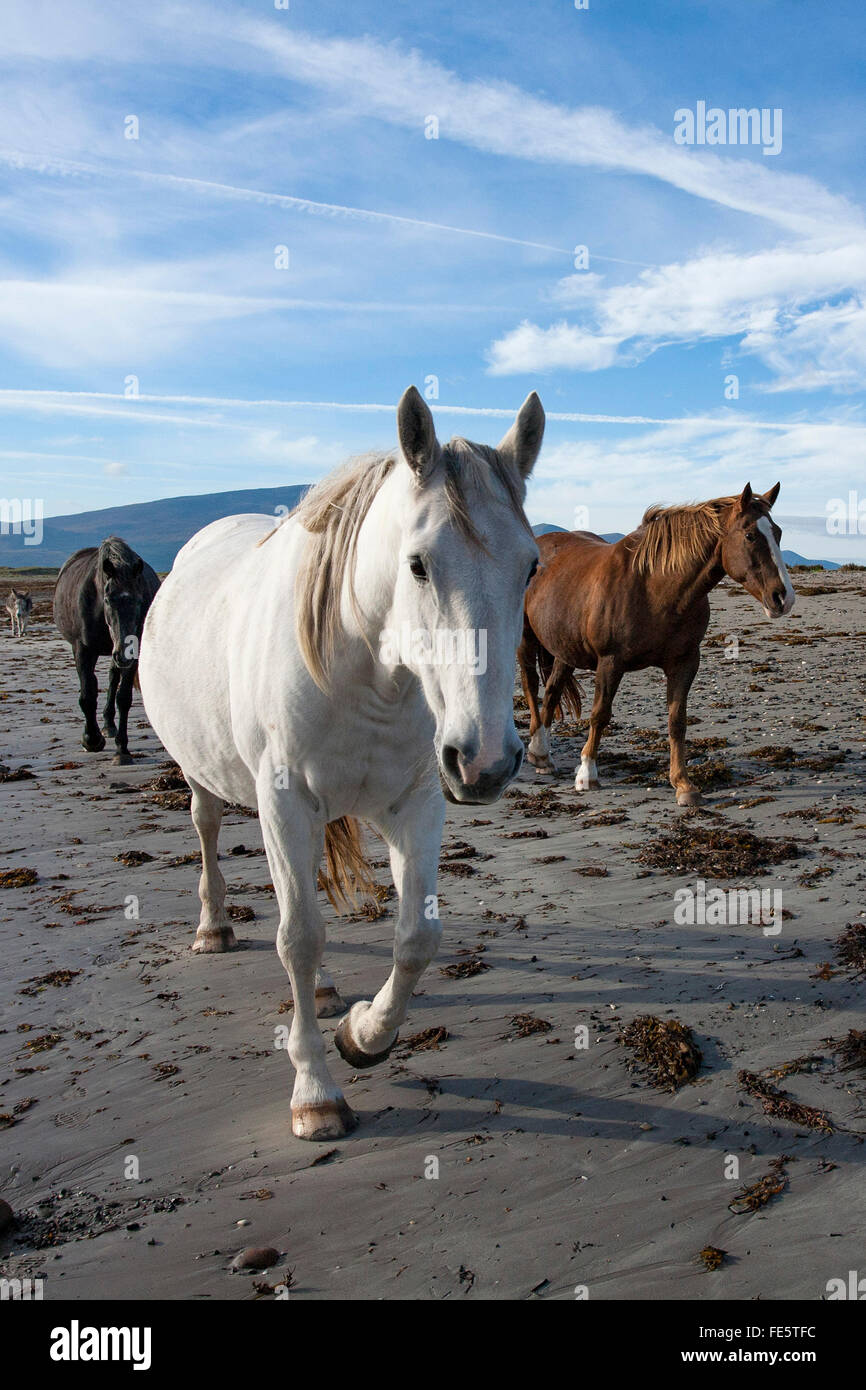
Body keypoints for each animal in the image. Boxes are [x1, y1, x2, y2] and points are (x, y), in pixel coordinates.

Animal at [53, 536, 161, 767]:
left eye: (139, 601)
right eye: (108, 600)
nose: (122, 653)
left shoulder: (134, 651)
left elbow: (123, 697)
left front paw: (122, 749)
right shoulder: (83, 649)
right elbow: (87, 694)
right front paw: (91, 740)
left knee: (113, 678)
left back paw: (109, 725)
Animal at [139, 383, 544, 1139]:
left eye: (531, 565)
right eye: (418, 564)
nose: (486, 760)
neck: (367, 671)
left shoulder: (418, 803)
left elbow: (418, 937)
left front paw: (363, 1036)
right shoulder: (284, 801)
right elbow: (298, 938)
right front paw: (316, 1093)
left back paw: (328, 996)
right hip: (208, 776)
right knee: (209, 829)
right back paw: (213, 927)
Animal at [517, 483, 795, 806]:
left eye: (778, 532)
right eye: (750, 535)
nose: (783, 597)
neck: (655, 588)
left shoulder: (684, 662)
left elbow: (677, 721)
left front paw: (684, 784)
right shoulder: (610, 662)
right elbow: (600, 714)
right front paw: (587, 774)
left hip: (565, 648)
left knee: (552, 691)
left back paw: (541, 755)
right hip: (526, 639)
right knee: (531, 685)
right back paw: (538, 749)